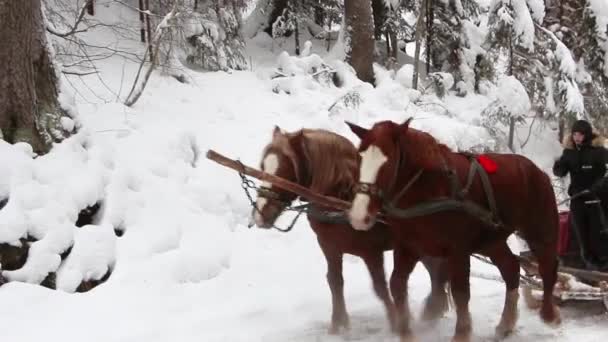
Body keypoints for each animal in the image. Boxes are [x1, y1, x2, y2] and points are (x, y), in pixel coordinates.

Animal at [251, 125, 452, 334]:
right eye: (263, 166)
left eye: (286, 169)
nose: (261, 213)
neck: (340, 199)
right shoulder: (329, 247)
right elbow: (334, 281)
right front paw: (338, 324)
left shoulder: (371, 252)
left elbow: (380, 288)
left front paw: (395, 321)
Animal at [346, 118, 560, 342]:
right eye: (359, 158)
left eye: (386, 163)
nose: (359, 216)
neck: (428, 188)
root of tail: (537, 170)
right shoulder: (408, 246)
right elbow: (397, 284)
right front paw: (405, 331)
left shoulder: (458, 250)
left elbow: (460, 292)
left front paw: (462, 332)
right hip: (490, 241)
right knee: (511, 268)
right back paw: (505, 325)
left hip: (540, 232)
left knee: (548, 267)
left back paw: (549, 314)